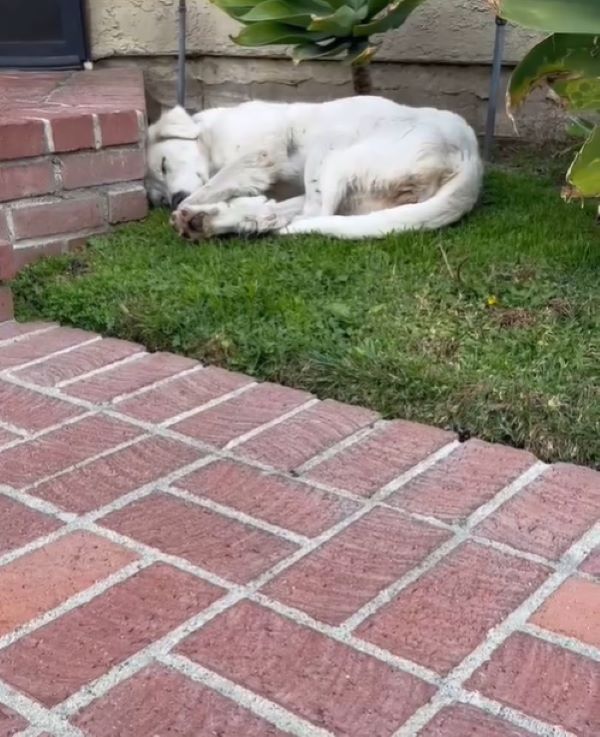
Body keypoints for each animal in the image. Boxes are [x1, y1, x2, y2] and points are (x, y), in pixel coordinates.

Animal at [145, 96, 482, 240]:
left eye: (163, 165)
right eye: (156, 197)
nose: (171, 200)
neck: (209, 138)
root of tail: (471, 157)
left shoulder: (262, 150)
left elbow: (211, 186)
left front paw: (192, 203)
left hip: (330, 149)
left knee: (313, 213)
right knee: (305, 211)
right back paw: (211, 221)